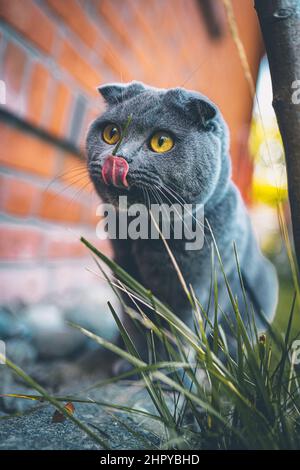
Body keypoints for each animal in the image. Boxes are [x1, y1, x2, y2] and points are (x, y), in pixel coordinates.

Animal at [85, 82, 278, 358]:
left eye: (161, 142)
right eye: (111, 133)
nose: (118, 158)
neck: (151, 236)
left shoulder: (201, 285)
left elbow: (181, 333)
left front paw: (171, 368)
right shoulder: (124, 271)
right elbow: (135, 321)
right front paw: (137, 361)